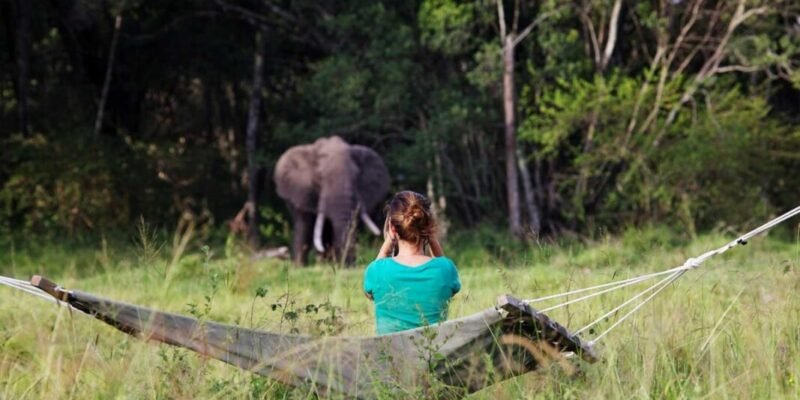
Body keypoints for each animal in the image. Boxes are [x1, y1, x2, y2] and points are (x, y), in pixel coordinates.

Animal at [274, 136, 390, 265]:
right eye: (319, 177)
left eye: (356, 176)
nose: (347, 265)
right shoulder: (302, 191)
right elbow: (305, 225)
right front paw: (300, 266)